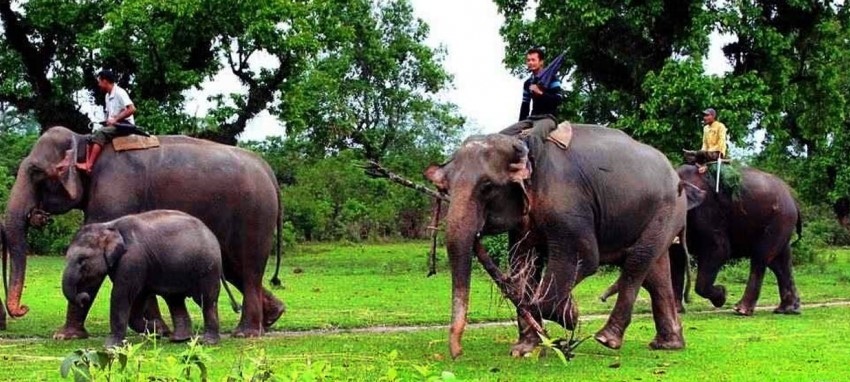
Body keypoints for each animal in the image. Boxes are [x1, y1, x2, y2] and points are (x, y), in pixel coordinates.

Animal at [62, 210, 222, 348]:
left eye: (83, 259)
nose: (84, 297)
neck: (108, 226)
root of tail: (210, 231)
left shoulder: (133, 257)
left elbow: (122, 294)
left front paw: (111, 346)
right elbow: (138, 296)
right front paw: (156, 331)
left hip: (208, 266)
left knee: (206, 300)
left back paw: (208, 342)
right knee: (175, 300)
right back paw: (179, 339)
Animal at [424, 124, 688, 358]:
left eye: (487, 186)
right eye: (446, 188)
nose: (457, 353)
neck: (522, 141)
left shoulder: (567, 200)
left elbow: (584, 256)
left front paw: (571, 315)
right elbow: (522, 264)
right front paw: (523, 350)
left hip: (668, 209)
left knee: (637, 262)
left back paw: (607, 338)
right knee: (655, 273)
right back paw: (668, 345)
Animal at [672, 164, 800, 316]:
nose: (687, 299)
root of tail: (793, 197)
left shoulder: (708, 213)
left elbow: (720, 251)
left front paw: (722, 296)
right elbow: (675, 258)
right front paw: (677, 311)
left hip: (779, 219)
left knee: (761, 258)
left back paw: (741, 310)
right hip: (782, 222)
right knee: (780, 262)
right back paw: (787, 309)